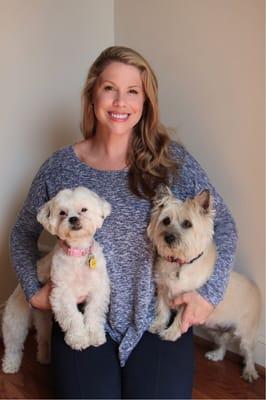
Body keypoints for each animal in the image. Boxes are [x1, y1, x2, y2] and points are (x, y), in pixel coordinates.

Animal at [1, 186, 111, 374]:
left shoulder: (98, 291)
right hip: (16, 318)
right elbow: (73, 316)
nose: (73, 218)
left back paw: (44, 357)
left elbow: (93, 313)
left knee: (43, 339)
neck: (77, 254)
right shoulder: (61, 294)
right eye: (62, 213)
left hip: (45, 321)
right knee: (13, 344)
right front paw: (78, 339)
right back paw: (10, 364)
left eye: (83, 210)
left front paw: (95, 335)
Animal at [149, 186, 260, 382]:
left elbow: (179, 319)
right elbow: (162, 310)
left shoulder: (190, 301)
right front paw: (158, 325)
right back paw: (216, 355)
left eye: (187, 224)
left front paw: (170, 333)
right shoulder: (162, 289)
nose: (168, 237)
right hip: (215, 328)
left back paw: (249, 371)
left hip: (246, 333)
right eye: (166, 220)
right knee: (224, 342)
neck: (180, 262)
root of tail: (256, 288)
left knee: (248, 352)